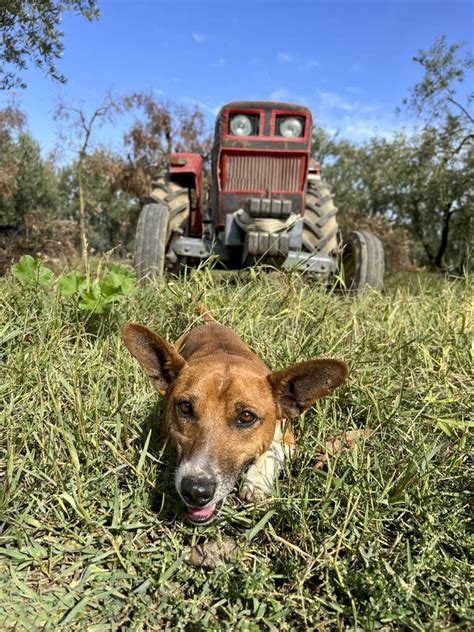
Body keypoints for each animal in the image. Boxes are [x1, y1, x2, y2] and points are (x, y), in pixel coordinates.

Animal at [122, 316, 346, 524]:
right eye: (185, 407)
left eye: (246, 416)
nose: (195, 491)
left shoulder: (288, 438)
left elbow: (273, 450)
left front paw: (256, 482)